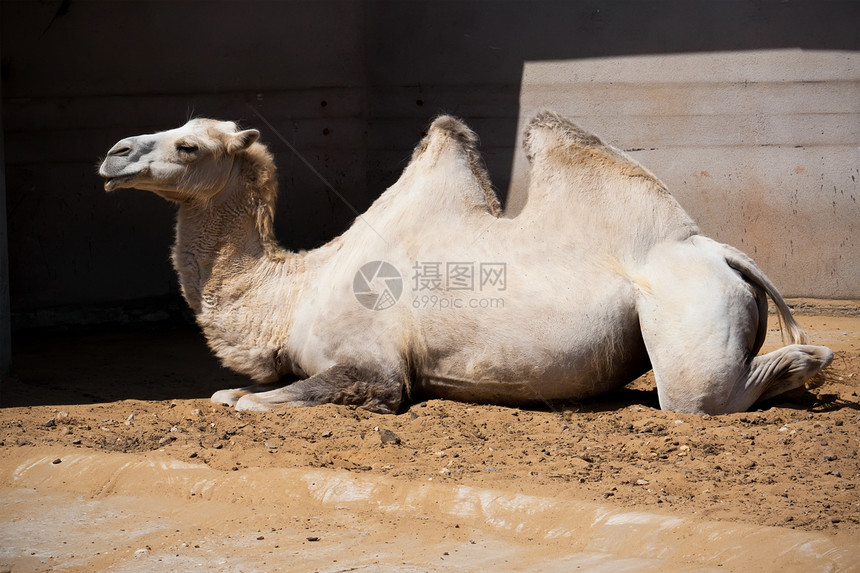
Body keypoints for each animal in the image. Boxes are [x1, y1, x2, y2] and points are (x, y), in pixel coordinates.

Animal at [99, 113, 832, 416]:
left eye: (189, 146)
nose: (114, 152)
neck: (294, 290)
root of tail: (722, 251)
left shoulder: (374, 367)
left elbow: (251, 400)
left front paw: (237, 395)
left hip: (689, 312)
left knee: (697, 398)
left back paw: (811, 362)